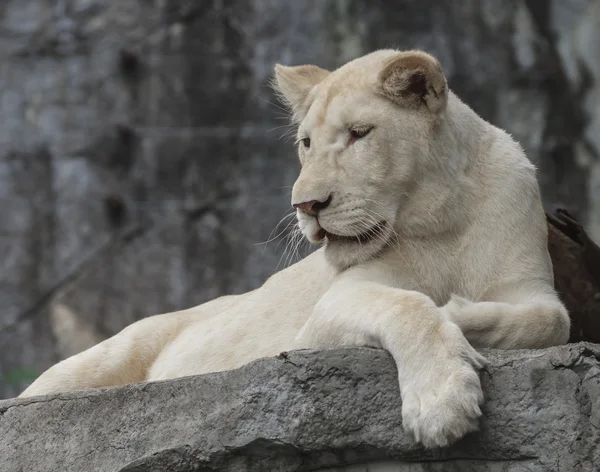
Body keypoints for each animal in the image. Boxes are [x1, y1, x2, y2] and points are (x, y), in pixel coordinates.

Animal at [19, 50, 572, 450]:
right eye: (306, 142)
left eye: (359, 134)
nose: (306, 204)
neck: (442, 220)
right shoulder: (330, 308)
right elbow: (409, 306)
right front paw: (442, 402)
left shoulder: (531, 286)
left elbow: (549, 321)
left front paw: (459, 313)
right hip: (104, 354)